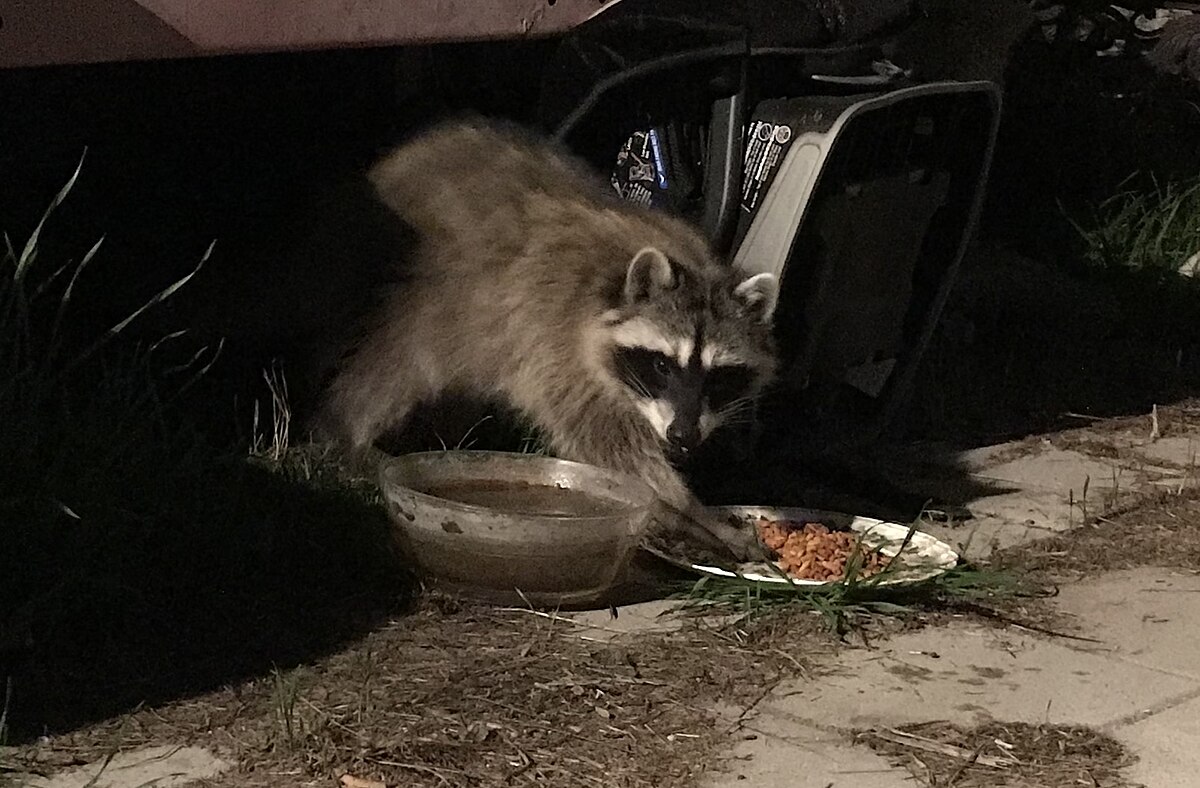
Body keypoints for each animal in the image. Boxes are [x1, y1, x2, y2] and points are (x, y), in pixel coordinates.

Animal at [312, 119, 779, 557]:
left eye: (719, 377)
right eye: (662, 364)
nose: (683, 438)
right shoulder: (554, 343)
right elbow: (612, 446)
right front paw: (686, 510)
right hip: (422, 294)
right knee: (396, 361)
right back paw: (348, 434)